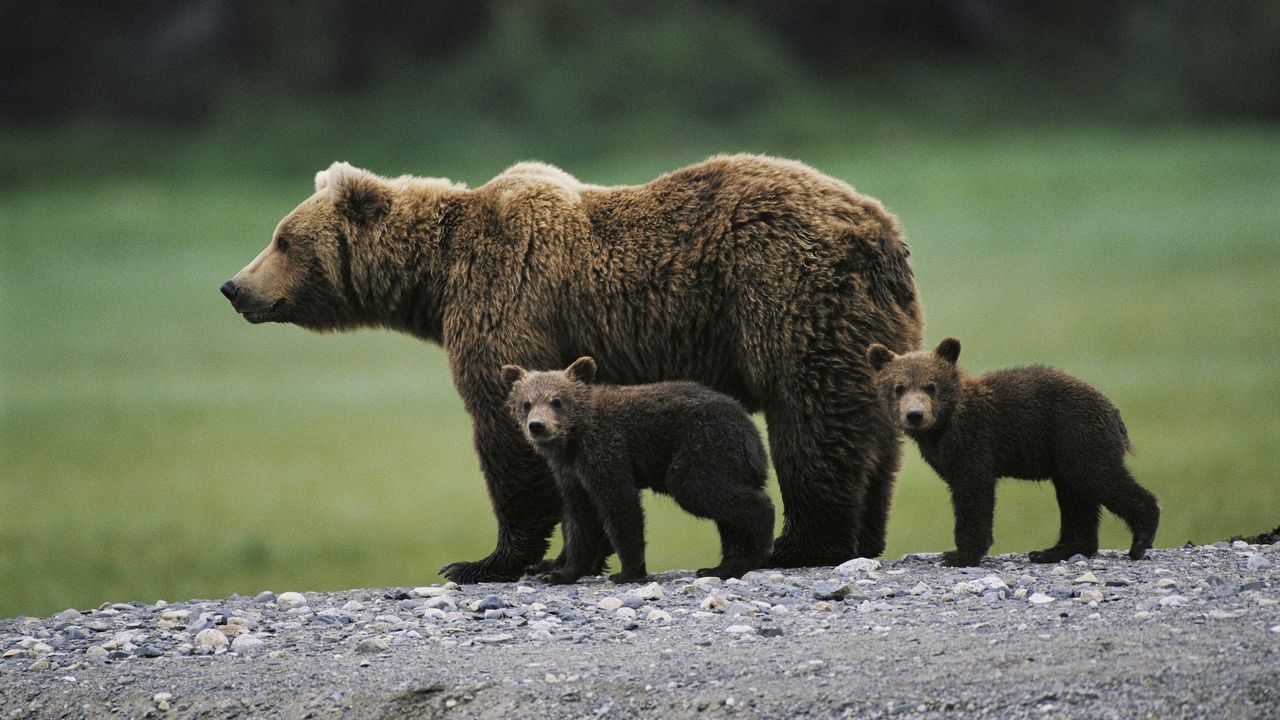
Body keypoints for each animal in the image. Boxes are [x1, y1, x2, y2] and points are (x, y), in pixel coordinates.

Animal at [501, 357, 775, 583]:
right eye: (526, 403)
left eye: (557, 401)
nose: (537, 426)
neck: (572, 443)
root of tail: (752, 432)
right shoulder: (570, 475)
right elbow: (578, 520)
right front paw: (559, 572)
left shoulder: (606, 451)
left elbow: (621, 506)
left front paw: (628, 572)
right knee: (727, 517)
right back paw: (723, 566)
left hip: (702, 449)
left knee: (705, 491)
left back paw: (757, 544)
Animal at [866, 337, 1160, 567]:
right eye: (899, 387)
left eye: (931, 385)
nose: (915, 414)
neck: (943, 426)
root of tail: (1113, 411)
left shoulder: (975, 442)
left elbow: (973, 495)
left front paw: (958, 555)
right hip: (1065, 453)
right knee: (1076, 497)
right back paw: (1053, 551)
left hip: (1077, 435)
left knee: (1101, 478)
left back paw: (1141, 538)